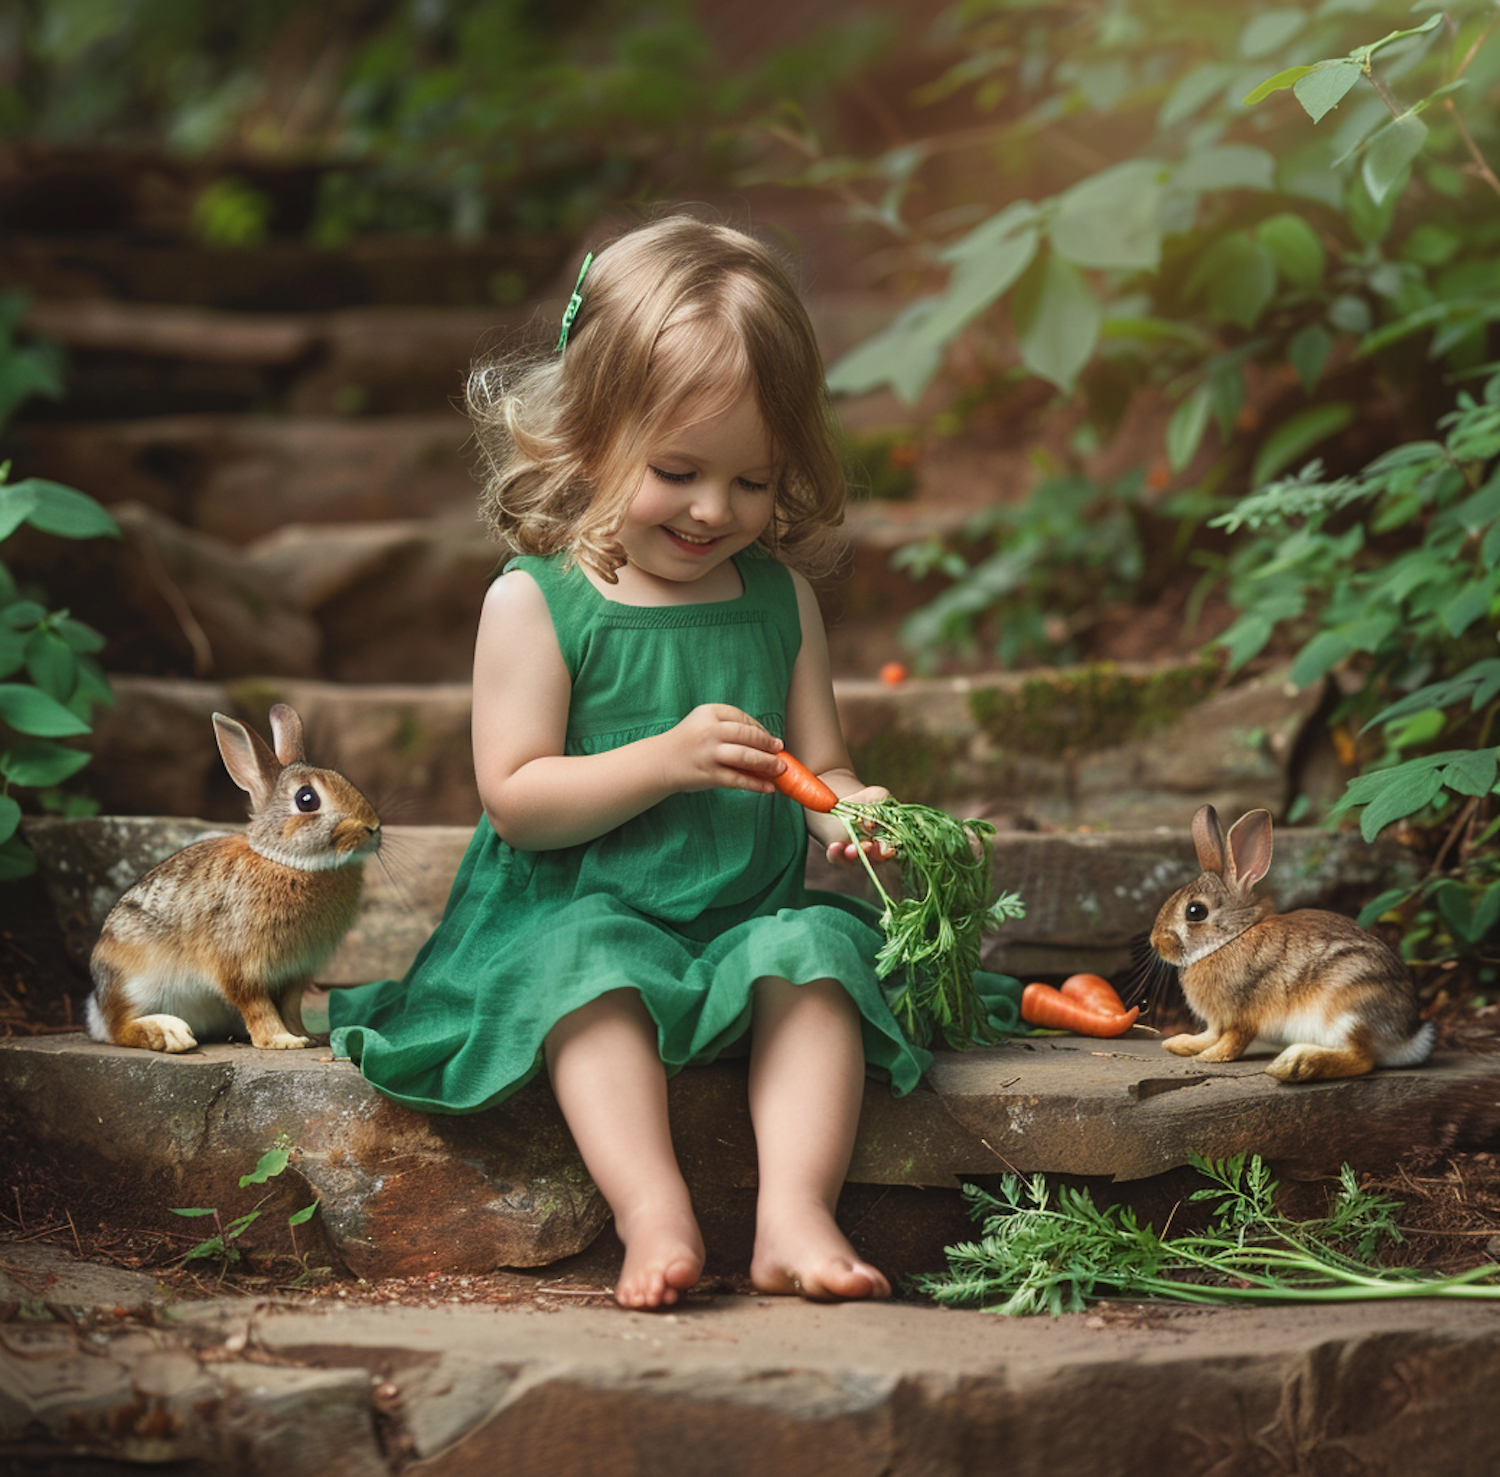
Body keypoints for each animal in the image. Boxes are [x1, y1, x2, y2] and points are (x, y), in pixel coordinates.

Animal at [85, 701, 384, 1049]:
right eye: (306, 799)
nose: (373, 828)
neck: (287, 861)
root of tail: (97, 1007)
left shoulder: (296, 973)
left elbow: (290, 1006)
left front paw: (308, 1036)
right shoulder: (239, 964)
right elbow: (257, 1005)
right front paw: (282, 1041)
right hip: (134, 981)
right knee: (118, 1028)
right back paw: (170, 1034)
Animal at [1152, 809, 1434, 1085]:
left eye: (1195, 911)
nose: (1156, 943)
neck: (1232, 938)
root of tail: (1407, 1038)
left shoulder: (1244, 1015)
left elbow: (1233, 1041)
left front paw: (1209, 1057)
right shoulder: (1217, 1021)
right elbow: (1210, 1035)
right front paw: (1179, 1044)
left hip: (1346, 1007)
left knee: (1362, 1059)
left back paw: (1293, 1066)